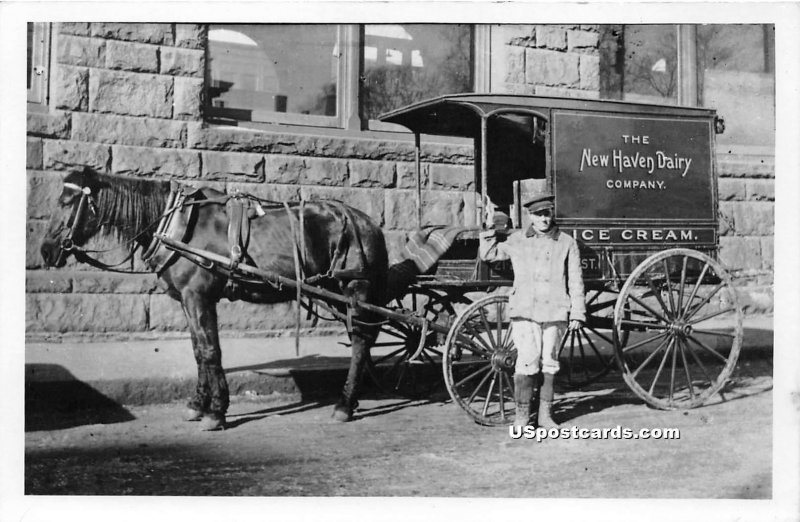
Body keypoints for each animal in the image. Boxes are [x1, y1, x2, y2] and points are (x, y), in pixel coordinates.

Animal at [41, 166, 390, 426]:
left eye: (68, 201)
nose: (46, 250)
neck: (177, 225)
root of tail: (368, 222)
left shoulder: (199, 296)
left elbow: (210, 351)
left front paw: (216, 411)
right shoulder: (187, 300)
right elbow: (198, 351)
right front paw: (198, 404)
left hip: (354, 289)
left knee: (361, 342)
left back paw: (345, 404)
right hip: (336, 293)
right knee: (362, 339)